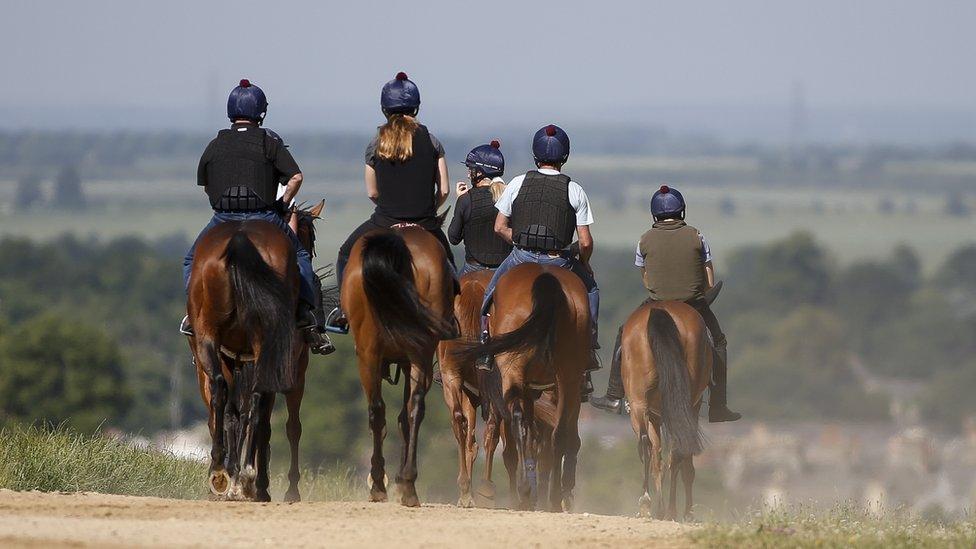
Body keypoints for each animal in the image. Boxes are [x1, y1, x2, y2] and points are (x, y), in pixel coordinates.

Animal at [189, 199, 326, 498]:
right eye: (309, 240)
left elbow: (237, 416)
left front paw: (238, 475)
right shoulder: (294, 371)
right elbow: (282, 425)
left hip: (211, 345)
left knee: (225, 402)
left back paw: (224, 474)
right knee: (255, 409)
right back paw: (247, 478)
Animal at [342, 223, 460, 506]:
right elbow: (405, 416)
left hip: (373, 353)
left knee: (379, 410)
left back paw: (383, 484)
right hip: (415, 351)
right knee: (412, 407)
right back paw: (406, 484)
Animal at [458, 262, 588, 510]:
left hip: (517, 370)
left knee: (519, 423)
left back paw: (527, 492)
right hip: (567, 376)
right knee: (557, 433)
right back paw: (550, 497)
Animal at [620, 300, 712, 520]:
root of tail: (661, 310)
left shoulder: (652, 415)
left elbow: (657, 459)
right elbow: (675, 462)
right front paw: (685, 511)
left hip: (638, 404)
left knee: (647, 444)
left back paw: (648, 503)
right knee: (676, 451)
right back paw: (671, 509)